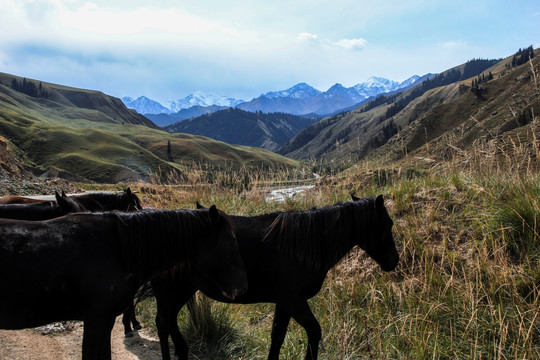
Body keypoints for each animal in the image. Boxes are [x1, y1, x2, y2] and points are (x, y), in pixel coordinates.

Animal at [150, 195, 398, 358]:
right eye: (388, 223)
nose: (394, 260)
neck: (305, 244)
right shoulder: (293, 301)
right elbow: (314, 332)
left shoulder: (285, 303)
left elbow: (277, 337)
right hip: (168, 290)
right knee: (162, 322)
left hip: (184, 288)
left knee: (170, 319)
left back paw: (182, 351)